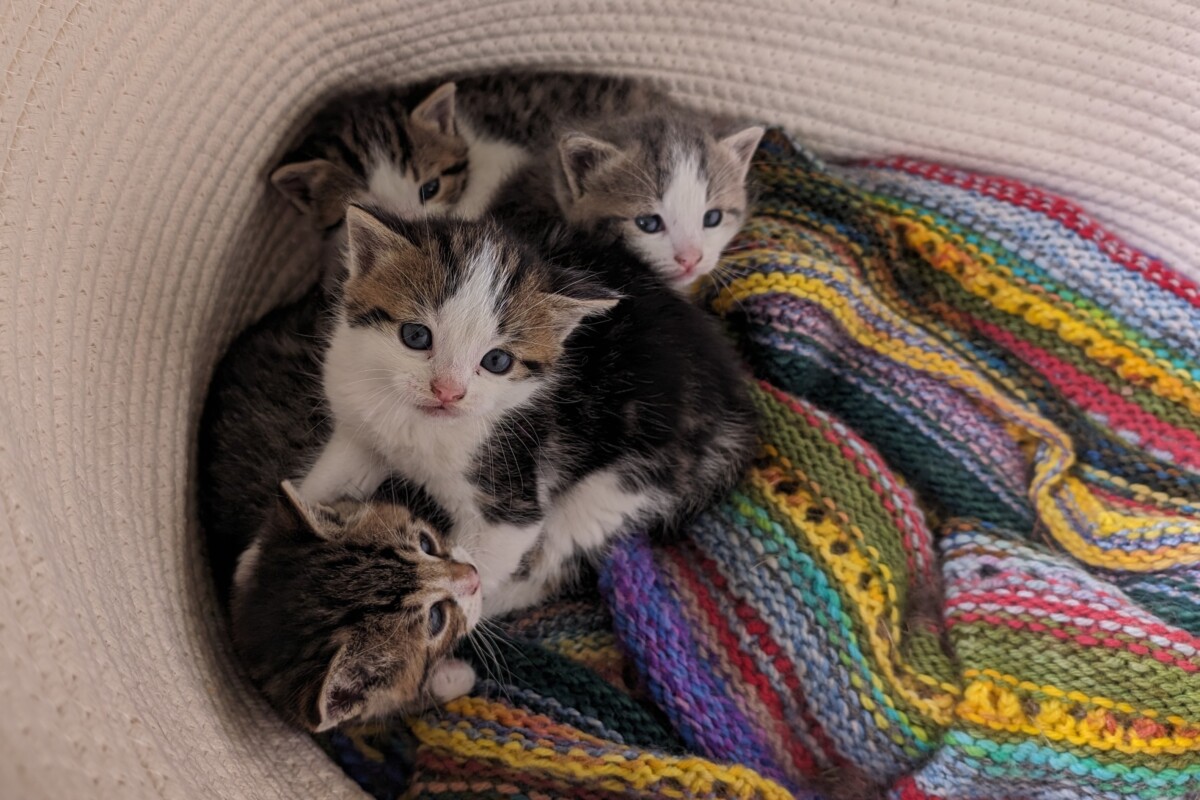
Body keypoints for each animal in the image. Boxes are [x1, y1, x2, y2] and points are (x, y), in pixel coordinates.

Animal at [298, 206, 748, 618]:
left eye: (497, 361)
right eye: (415, 336)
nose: (448, 392)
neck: (417, 426)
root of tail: (733, 396)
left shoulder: (511, 501)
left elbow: (480, 567)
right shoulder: (358, 427)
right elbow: (321, 487)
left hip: (624, 480)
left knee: (560, 553)